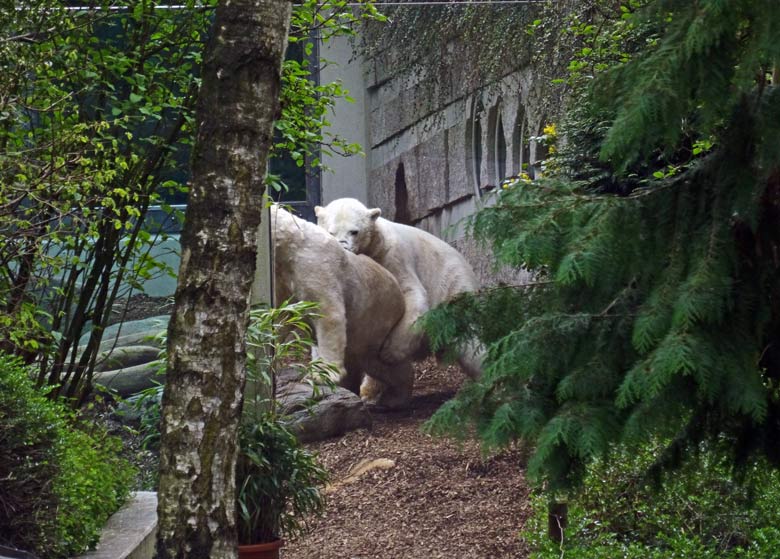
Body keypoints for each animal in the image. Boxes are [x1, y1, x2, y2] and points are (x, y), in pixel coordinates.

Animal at [268, 205, 414, 406]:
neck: (292, 244)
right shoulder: (282, 277)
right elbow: (281, 317)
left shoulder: (314, 265)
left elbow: (328, 313)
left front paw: (321, 375)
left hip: (376, 320)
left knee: (379, 362)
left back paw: (395, 397)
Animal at [314, 197, 478, 376]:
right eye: (331, 232)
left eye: (354, 231)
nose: (343, 246)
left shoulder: (392, 256)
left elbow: (412, 293)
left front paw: (390, 352)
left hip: (453, 287)